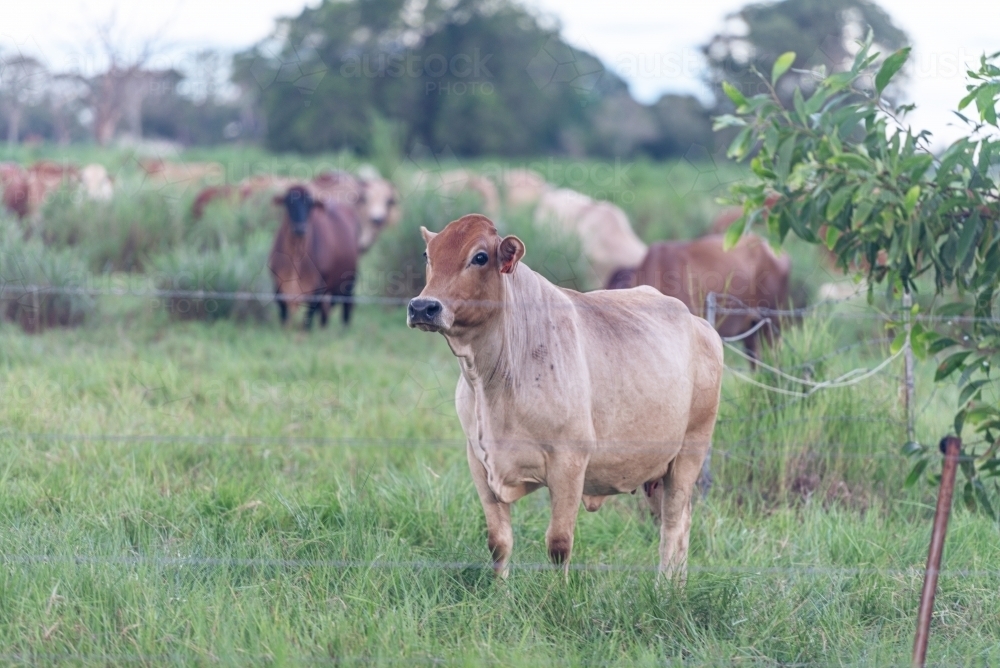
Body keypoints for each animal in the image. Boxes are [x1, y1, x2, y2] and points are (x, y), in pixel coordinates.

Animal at [268, 187, 358, 328]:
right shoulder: (277, 284)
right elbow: (283, 312)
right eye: (288, 203)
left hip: (349, 281)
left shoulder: (318, 287)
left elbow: (309, 315)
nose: (300, 228)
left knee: (346, 305)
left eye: (310, 204)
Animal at [406, 214, 728, 580]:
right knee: (681, 525)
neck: (493, 382)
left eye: (480, 257)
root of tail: (700, 324)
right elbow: (498, 543)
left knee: (672, 527)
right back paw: (677, 586)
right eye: (428, 255)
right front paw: (500, 592)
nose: (423, 307)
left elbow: (559, 543)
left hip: (689, 453)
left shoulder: (569, 463)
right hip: (655, 472)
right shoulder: (479, 461)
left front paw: (556, 593)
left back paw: (663, 587)